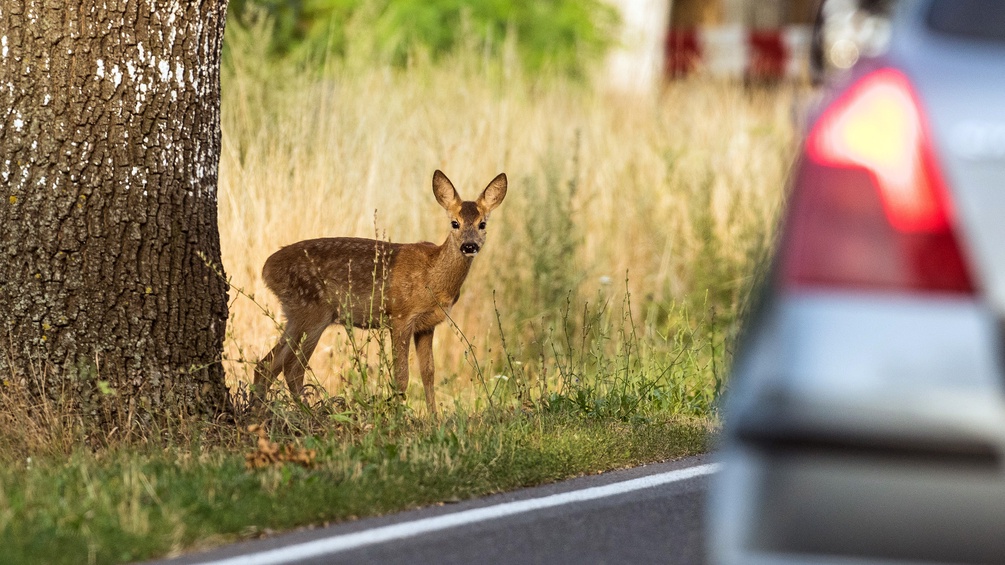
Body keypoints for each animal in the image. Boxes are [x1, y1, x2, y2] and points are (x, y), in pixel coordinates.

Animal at [249, 167, 502, 414]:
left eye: (482, 224)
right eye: (454, 223)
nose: (469, 246)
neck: (433, 277)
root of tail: (267, 268)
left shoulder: (427, 325)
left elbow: (428, 374)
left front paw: (433, 420)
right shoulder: (400, 316)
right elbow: (401, 377)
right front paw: (400, 418)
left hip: (295, 315)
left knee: (267, 365)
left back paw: (259, 410)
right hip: (312, 312)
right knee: (292, 368)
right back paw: (308, 413)